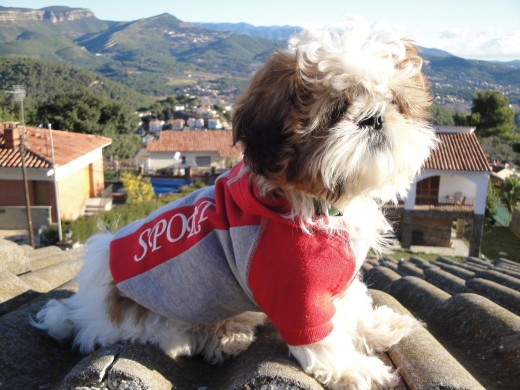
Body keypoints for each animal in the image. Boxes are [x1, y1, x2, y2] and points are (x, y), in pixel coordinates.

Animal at [34, 16, 436, 388]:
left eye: (394, 102)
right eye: (337, 110)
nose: (375, 119)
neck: (318, 203)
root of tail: (83, 306)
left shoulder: (338, 277)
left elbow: (351, 304)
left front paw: (376, 326)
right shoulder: (294, 289)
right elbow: (321, 338)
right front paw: (356, 369)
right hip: (165, 314)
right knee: (174, 333)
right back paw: (221, 336)